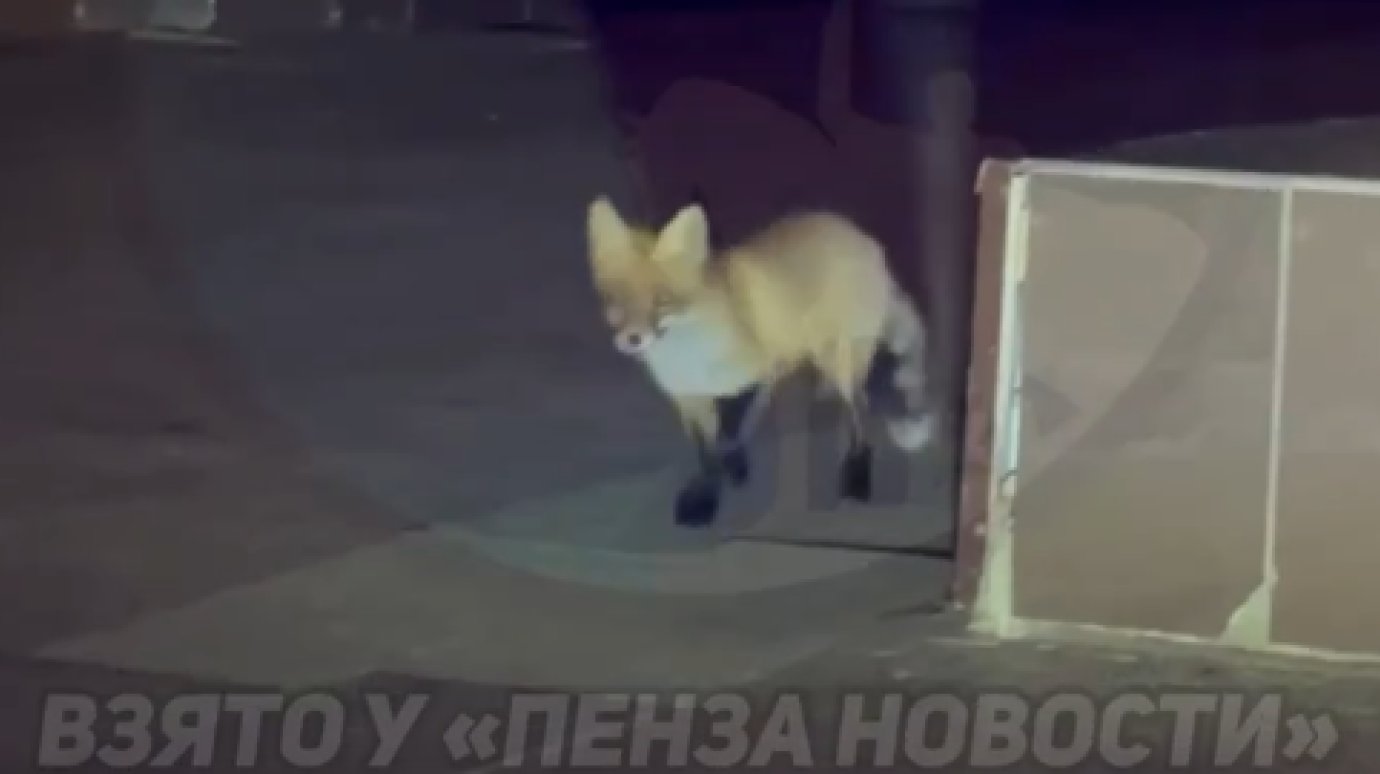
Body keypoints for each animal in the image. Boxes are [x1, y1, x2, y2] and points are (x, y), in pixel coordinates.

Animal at [585, 195, 934, 527]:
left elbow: (729, 437)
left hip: (840, 360)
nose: (632, 340)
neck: (686, 355)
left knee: (859, 410)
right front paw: (711, 486)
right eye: (614, 300)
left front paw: (724, 477)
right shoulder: (689, 399)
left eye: (662, 301)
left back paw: (856, 472)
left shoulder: (756, 373)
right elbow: (708, 452)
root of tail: (862, 237)